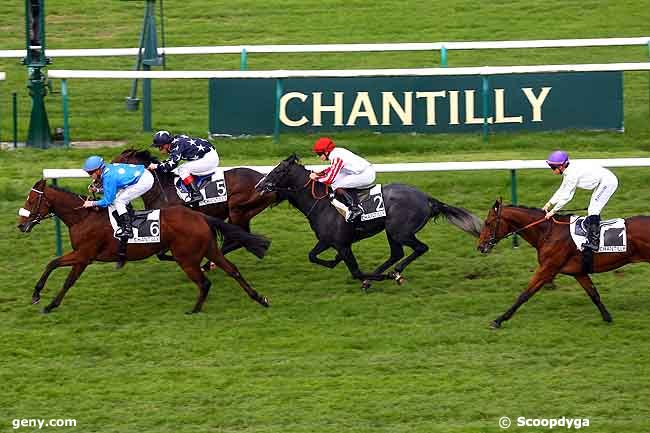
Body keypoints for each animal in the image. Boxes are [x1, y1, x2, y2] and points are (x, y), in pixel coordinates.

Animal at [17, 179, 270, 314]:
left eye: (31, 200)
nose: (21, 225)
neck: (83, 217)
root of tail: (200, 216)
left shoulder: (84, 255)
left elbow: (59, 271)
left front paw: (44, 300)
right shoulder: (83, 256)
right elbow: (58, 270)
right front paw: (44, 299)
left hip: (186, 258)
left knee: (204, 282)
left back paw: (195, 309)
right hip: (210, 249)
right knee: (232, 270)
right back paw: (259, 298)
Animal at [111, 150, 278, 255]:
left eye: (118, 163)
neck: (161, 189)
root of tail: (265, 181)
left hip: (237, 210)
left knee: (235, 239)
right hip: (244, 214)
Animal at [253, 154, 480, 288]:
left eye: (278, 170)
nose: (259, 185)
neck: (321, 204)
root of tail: (428, 199)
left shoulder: (342, 244)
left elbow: (355, 271)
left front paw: (374, 277)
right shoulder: (327, 241)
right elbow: (312, 256)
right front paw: (335, 262)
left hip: (399, 231)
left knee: (419, 248)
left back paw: (393, 273)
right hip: (391, 231)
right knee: (397, 253)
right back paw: (380, 274)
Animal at [474, 199, 648, 328]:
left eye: (488, 222)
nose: (480, 246)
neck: (548, 232)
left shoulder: (548, 268)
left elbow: (525, 294)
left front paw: (499, 320)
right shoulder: (579, 272)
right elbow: (593, 294)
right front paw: (607, 317)